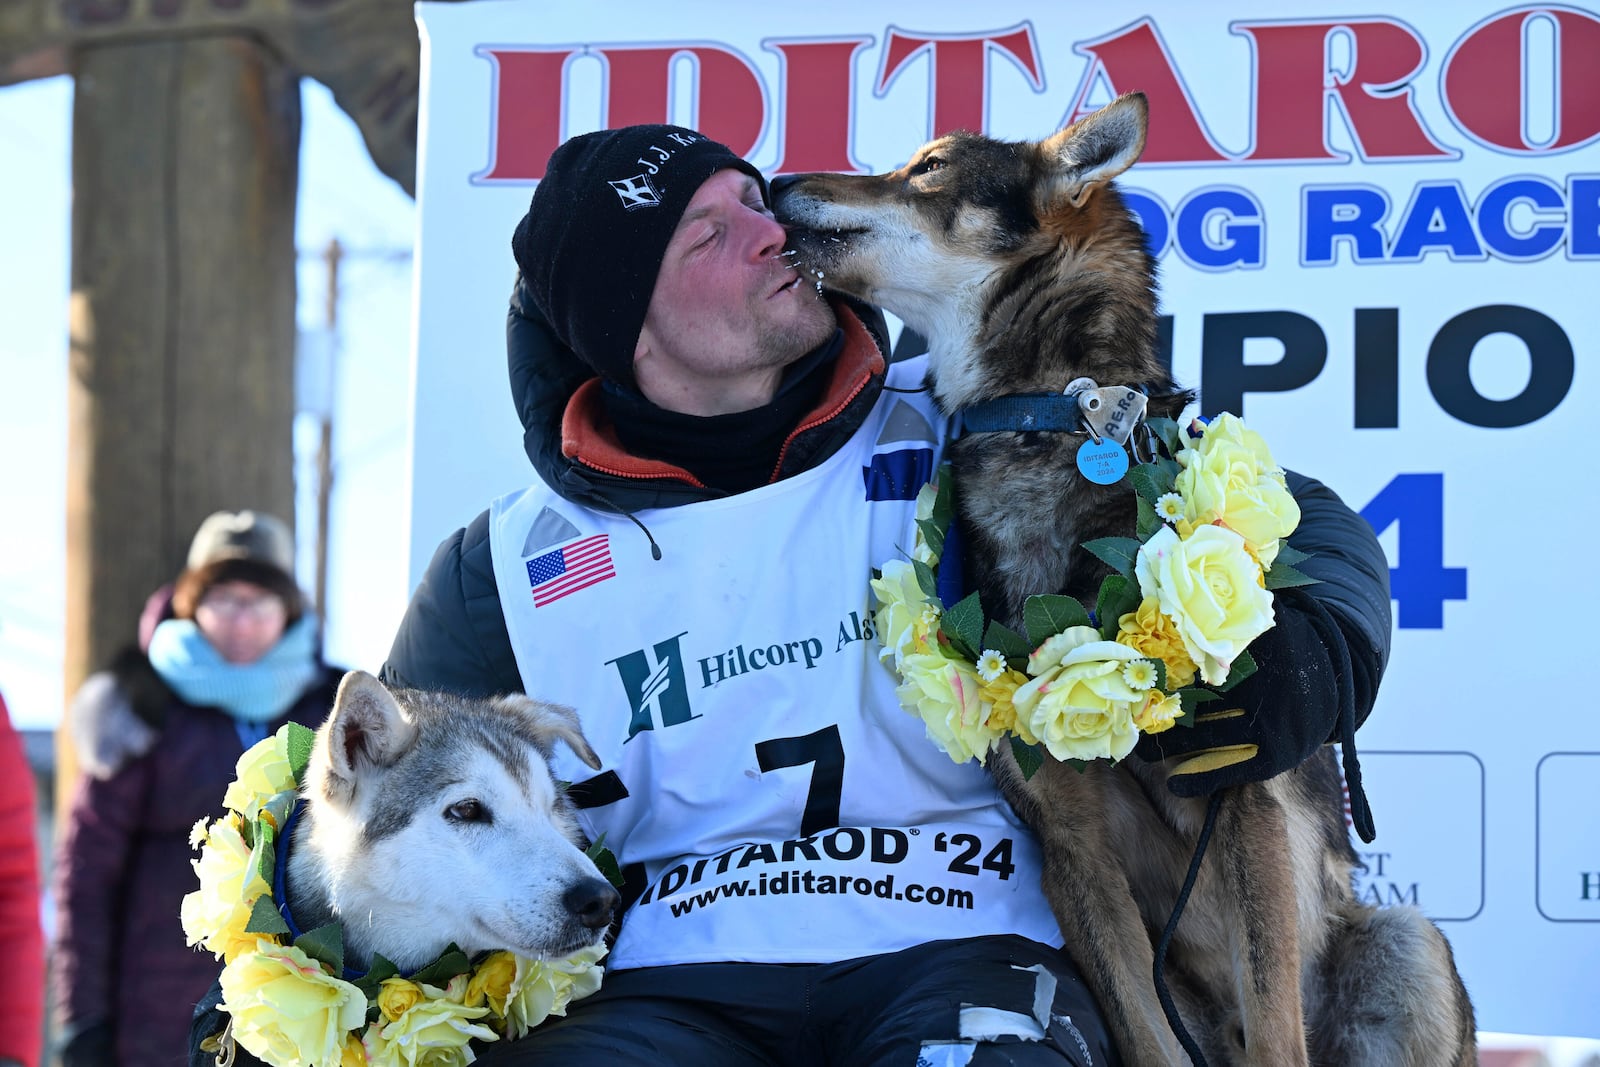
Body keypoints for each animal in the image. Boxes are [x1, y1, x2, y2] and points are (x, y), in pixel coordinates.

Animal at [774, 93, 1472, 1067]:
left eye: (929, 167)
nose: (774, 182)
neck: (1049, 414)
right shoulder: (1070, 847)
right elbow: (1144, 1032)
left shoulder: (1237, 796)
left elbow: (1275, 1024)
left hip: (1407, 939)